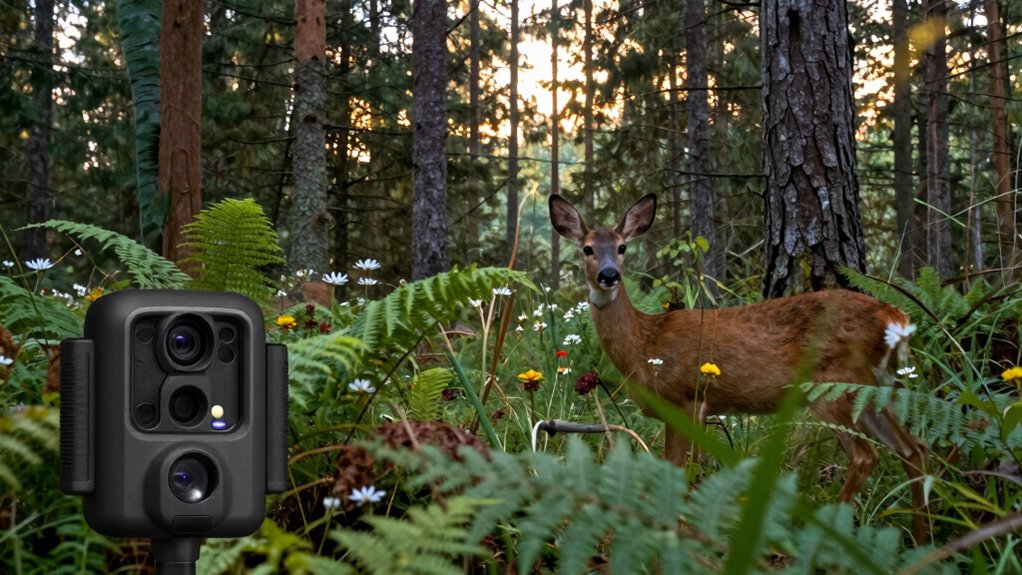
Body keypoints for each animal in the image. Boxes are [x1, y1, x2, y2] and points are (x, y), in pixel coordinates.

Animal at [549, 192, 930, 542]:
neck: (645, 344)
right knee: (914, 448)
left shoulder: (685, 399)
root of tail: (895, 318)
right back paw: (920, 538)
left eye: (623, 247)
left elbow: (681, 471)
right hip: (874, 387)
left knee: (867, 456)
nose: (609, 274)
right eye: (587, 249)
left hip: (833, 385)